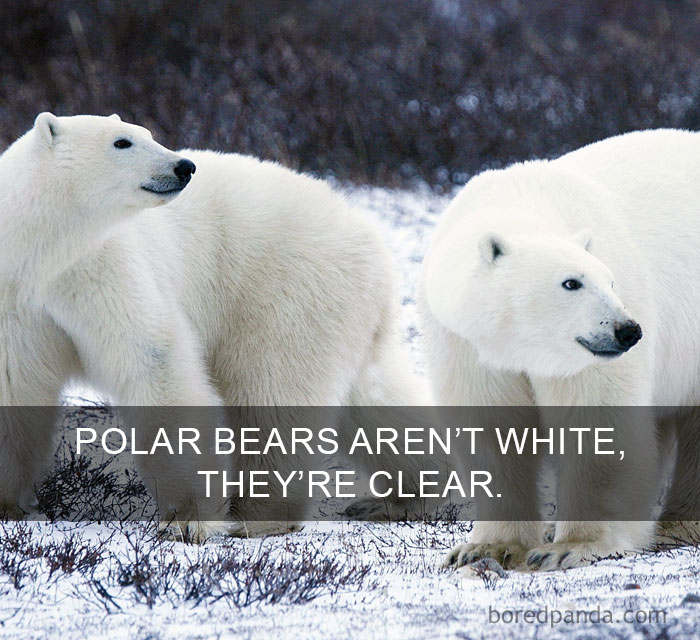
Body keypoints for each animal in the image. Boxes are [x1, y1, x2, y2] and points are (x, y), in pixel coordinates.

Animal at [0, 113, 429, 540]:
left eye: (147, 134)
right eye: (122, 141)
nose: (184, 166)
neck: (41, 253)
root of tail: (373, 240)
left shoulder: (104, 269)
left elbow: (153, 361)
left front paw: (187, 520)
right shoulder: (17, 302)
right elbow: (15, 389)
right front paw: (10, 505)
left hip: (288, 290)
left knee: (272, 393)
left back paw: (258, 515)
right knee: (374, 396)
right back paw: (399, 498)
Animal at [419, 128, 700, 571]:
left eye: (611, 280)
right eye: (572, 282)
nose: (628, 330)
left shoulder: (585, 359)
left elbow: (597, 424)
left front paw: (570, 546)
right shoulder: (465, 344)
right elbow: (490, 431)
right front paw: (485, 548)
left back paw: (679, 526)